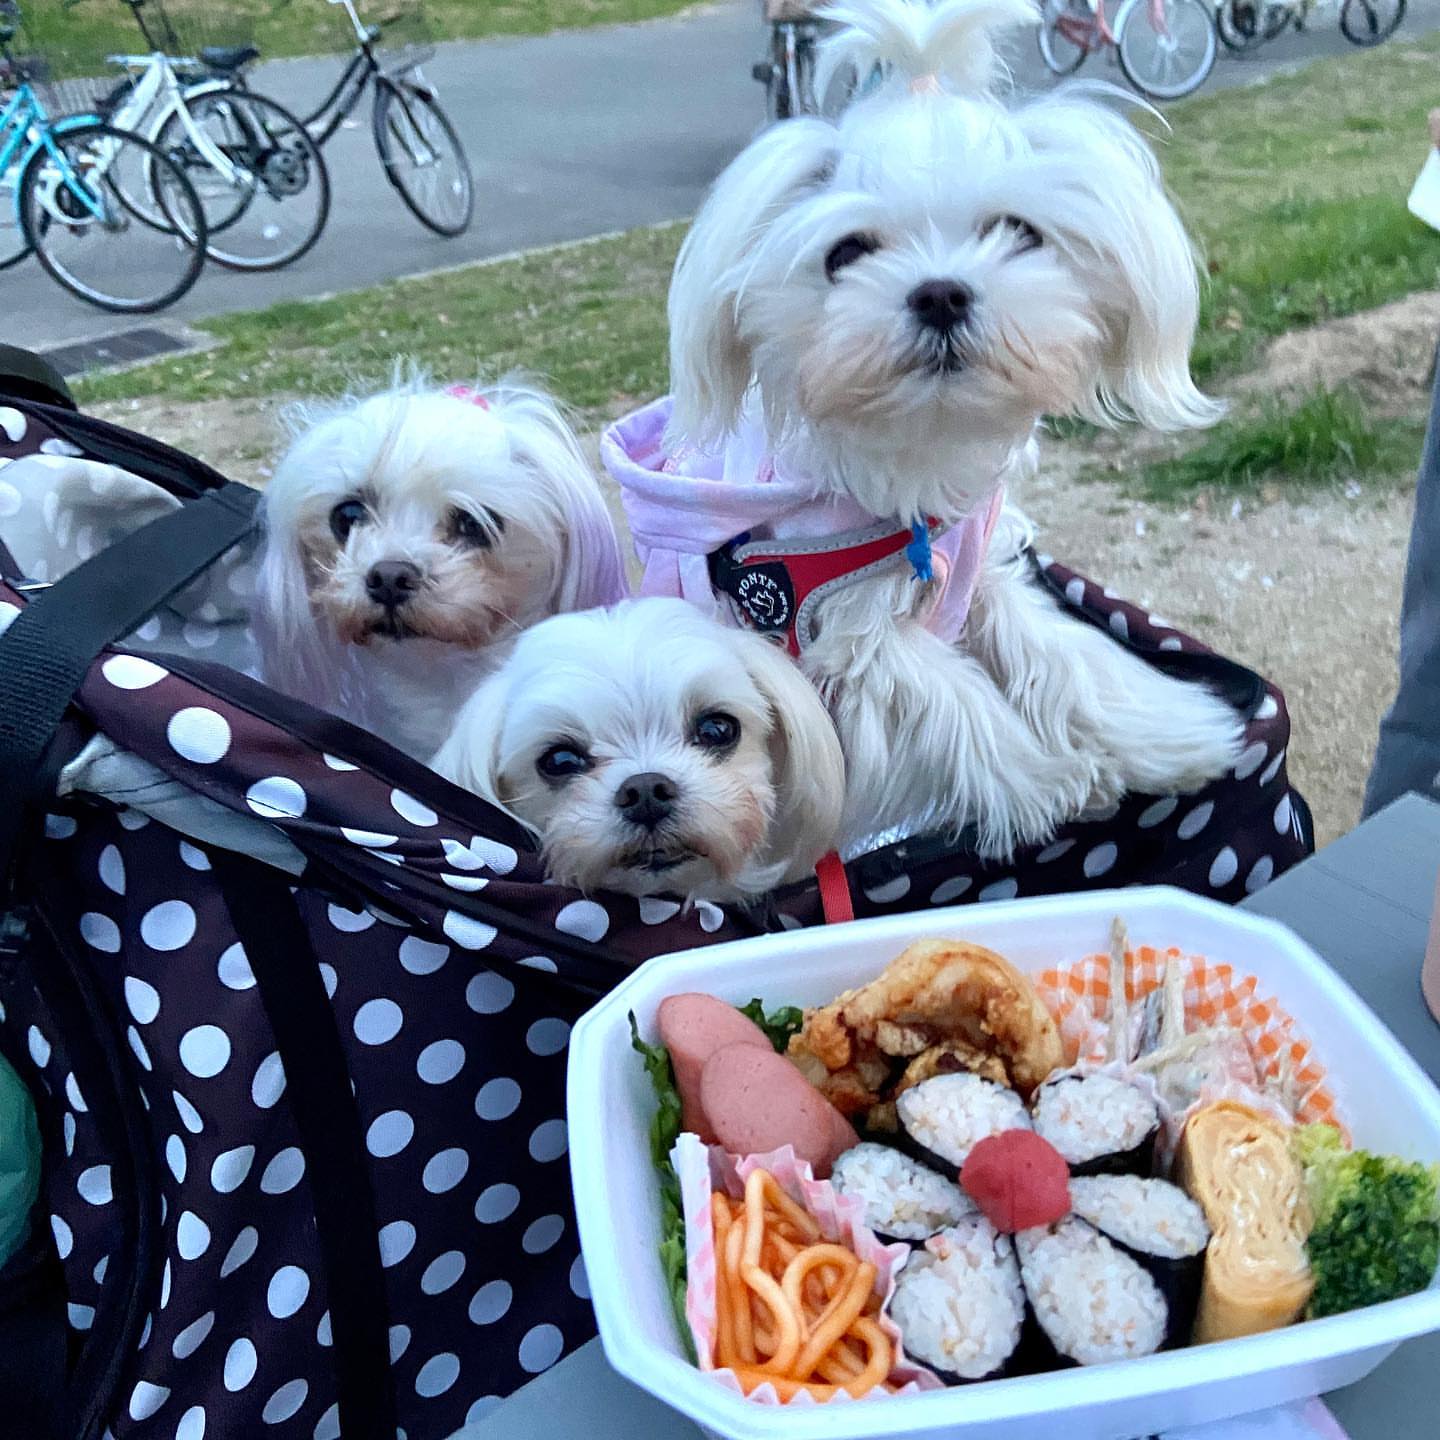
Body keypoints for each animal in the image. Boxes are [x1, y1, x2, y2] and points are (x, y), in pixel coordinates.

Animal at [606, 0, 1243, 859]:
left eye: (1018, 231)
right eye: (847, 251)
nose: (941, 293)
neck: (913, 460)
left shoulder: (985, 576)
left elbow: (1066, 655)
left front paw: (1173, 736)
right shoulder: (839, 630)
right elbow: (950, 695)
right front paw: (1056, 778)